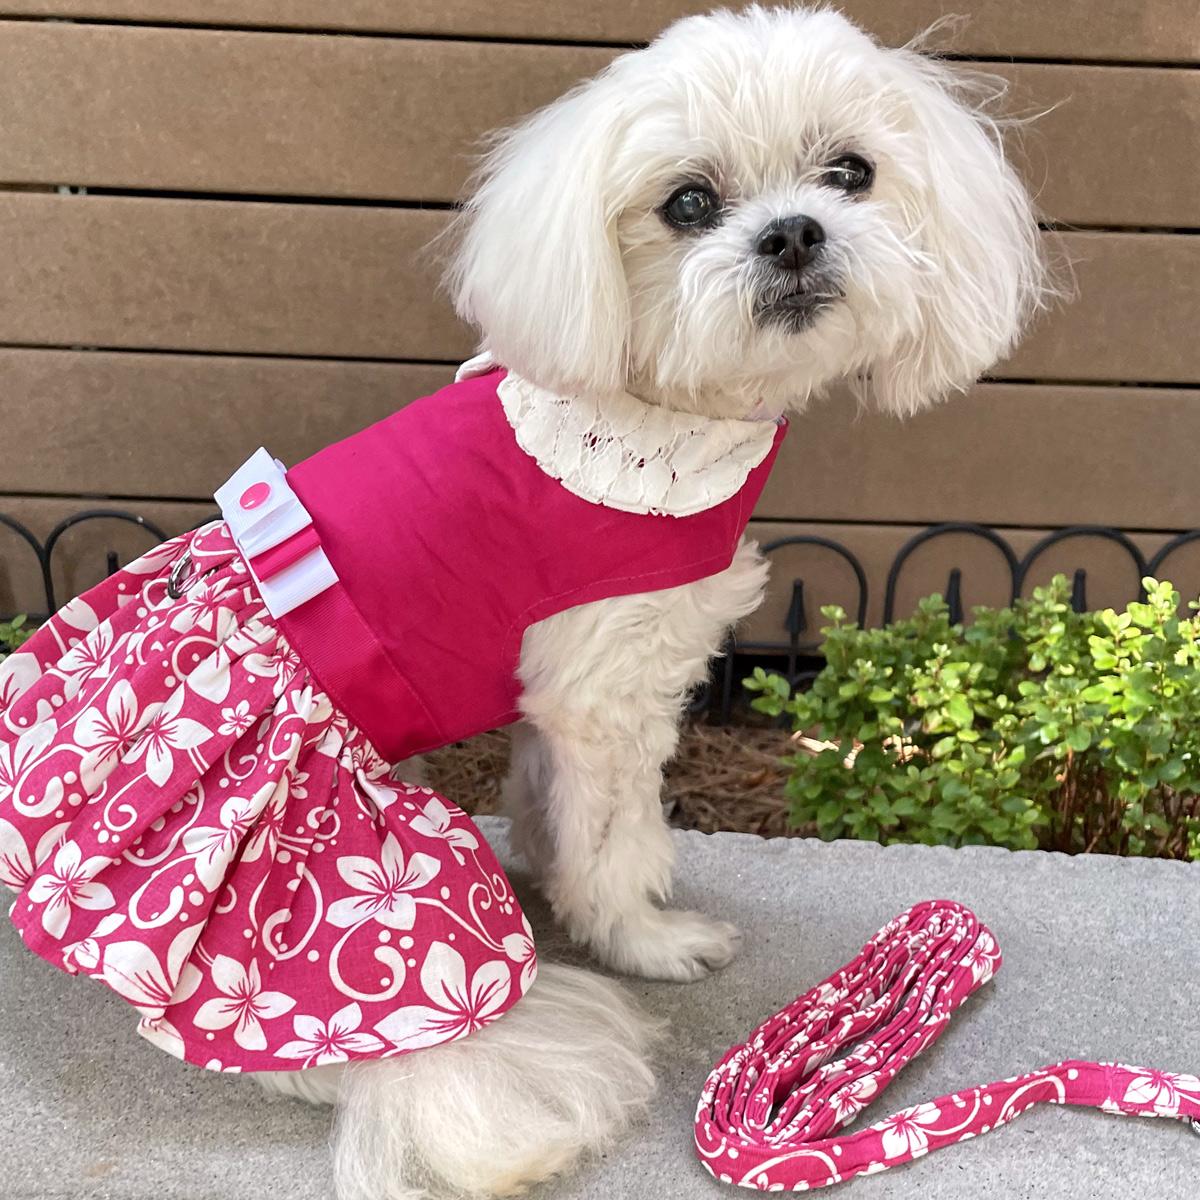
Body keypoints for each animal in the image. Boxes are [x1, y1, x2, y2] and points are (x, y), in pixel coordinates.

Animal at [260, 4, 1041, 1195]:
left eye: (850, 172)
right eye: (687, 204)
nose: (794, 234)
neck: (642, 418)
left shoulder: (560, 696)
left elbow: (553, 806)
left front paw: (556, 881)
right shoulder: (607, 684)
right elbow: (614, 832)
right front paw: (641, 936)